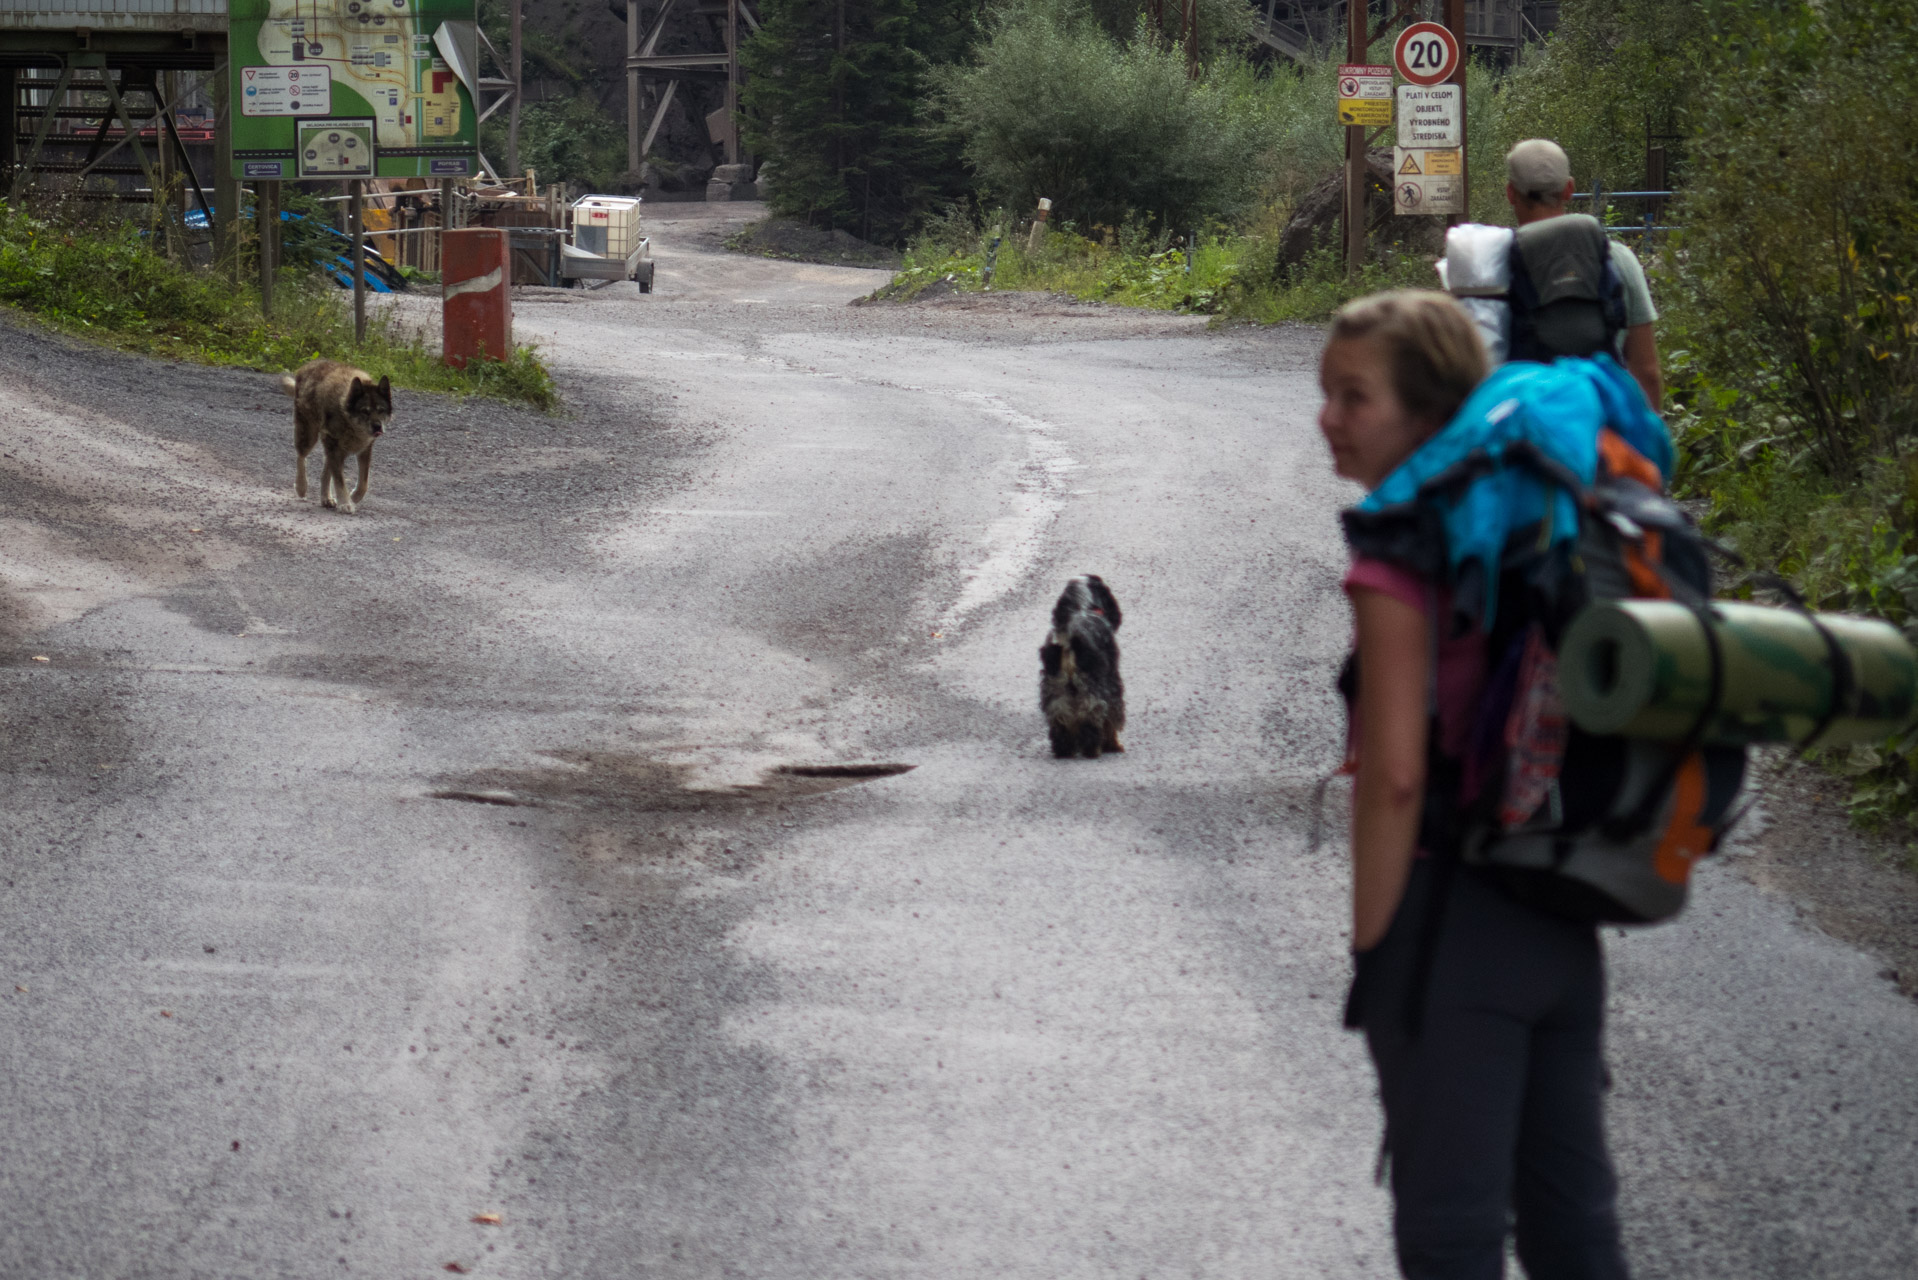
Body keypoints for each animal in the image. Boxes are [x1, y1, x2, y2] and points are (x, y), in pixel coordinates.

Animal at [281, 358, 391, 514]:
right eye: (365, 411)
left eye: (381, 410)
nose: (377, 427)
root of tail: (307, 366)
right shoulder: (333, 443)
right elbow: (339, 479)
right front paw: (345, 503)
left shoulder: (365, 448)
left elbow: (364, 482)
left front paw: (353, 497)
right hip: (309, 436)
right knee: (301, 457)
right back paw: (301, 487)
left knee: (325, 472)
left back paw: (326, 498)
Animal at [1051, 579, 1120, 759]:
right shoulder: (1112, 682)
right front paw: (1113, 745)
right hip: (1092, 688)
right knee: (1093, 716)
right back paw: (1093, 748)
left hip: (1057, 691)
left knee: (1060, 719)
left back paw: (1064, 749)